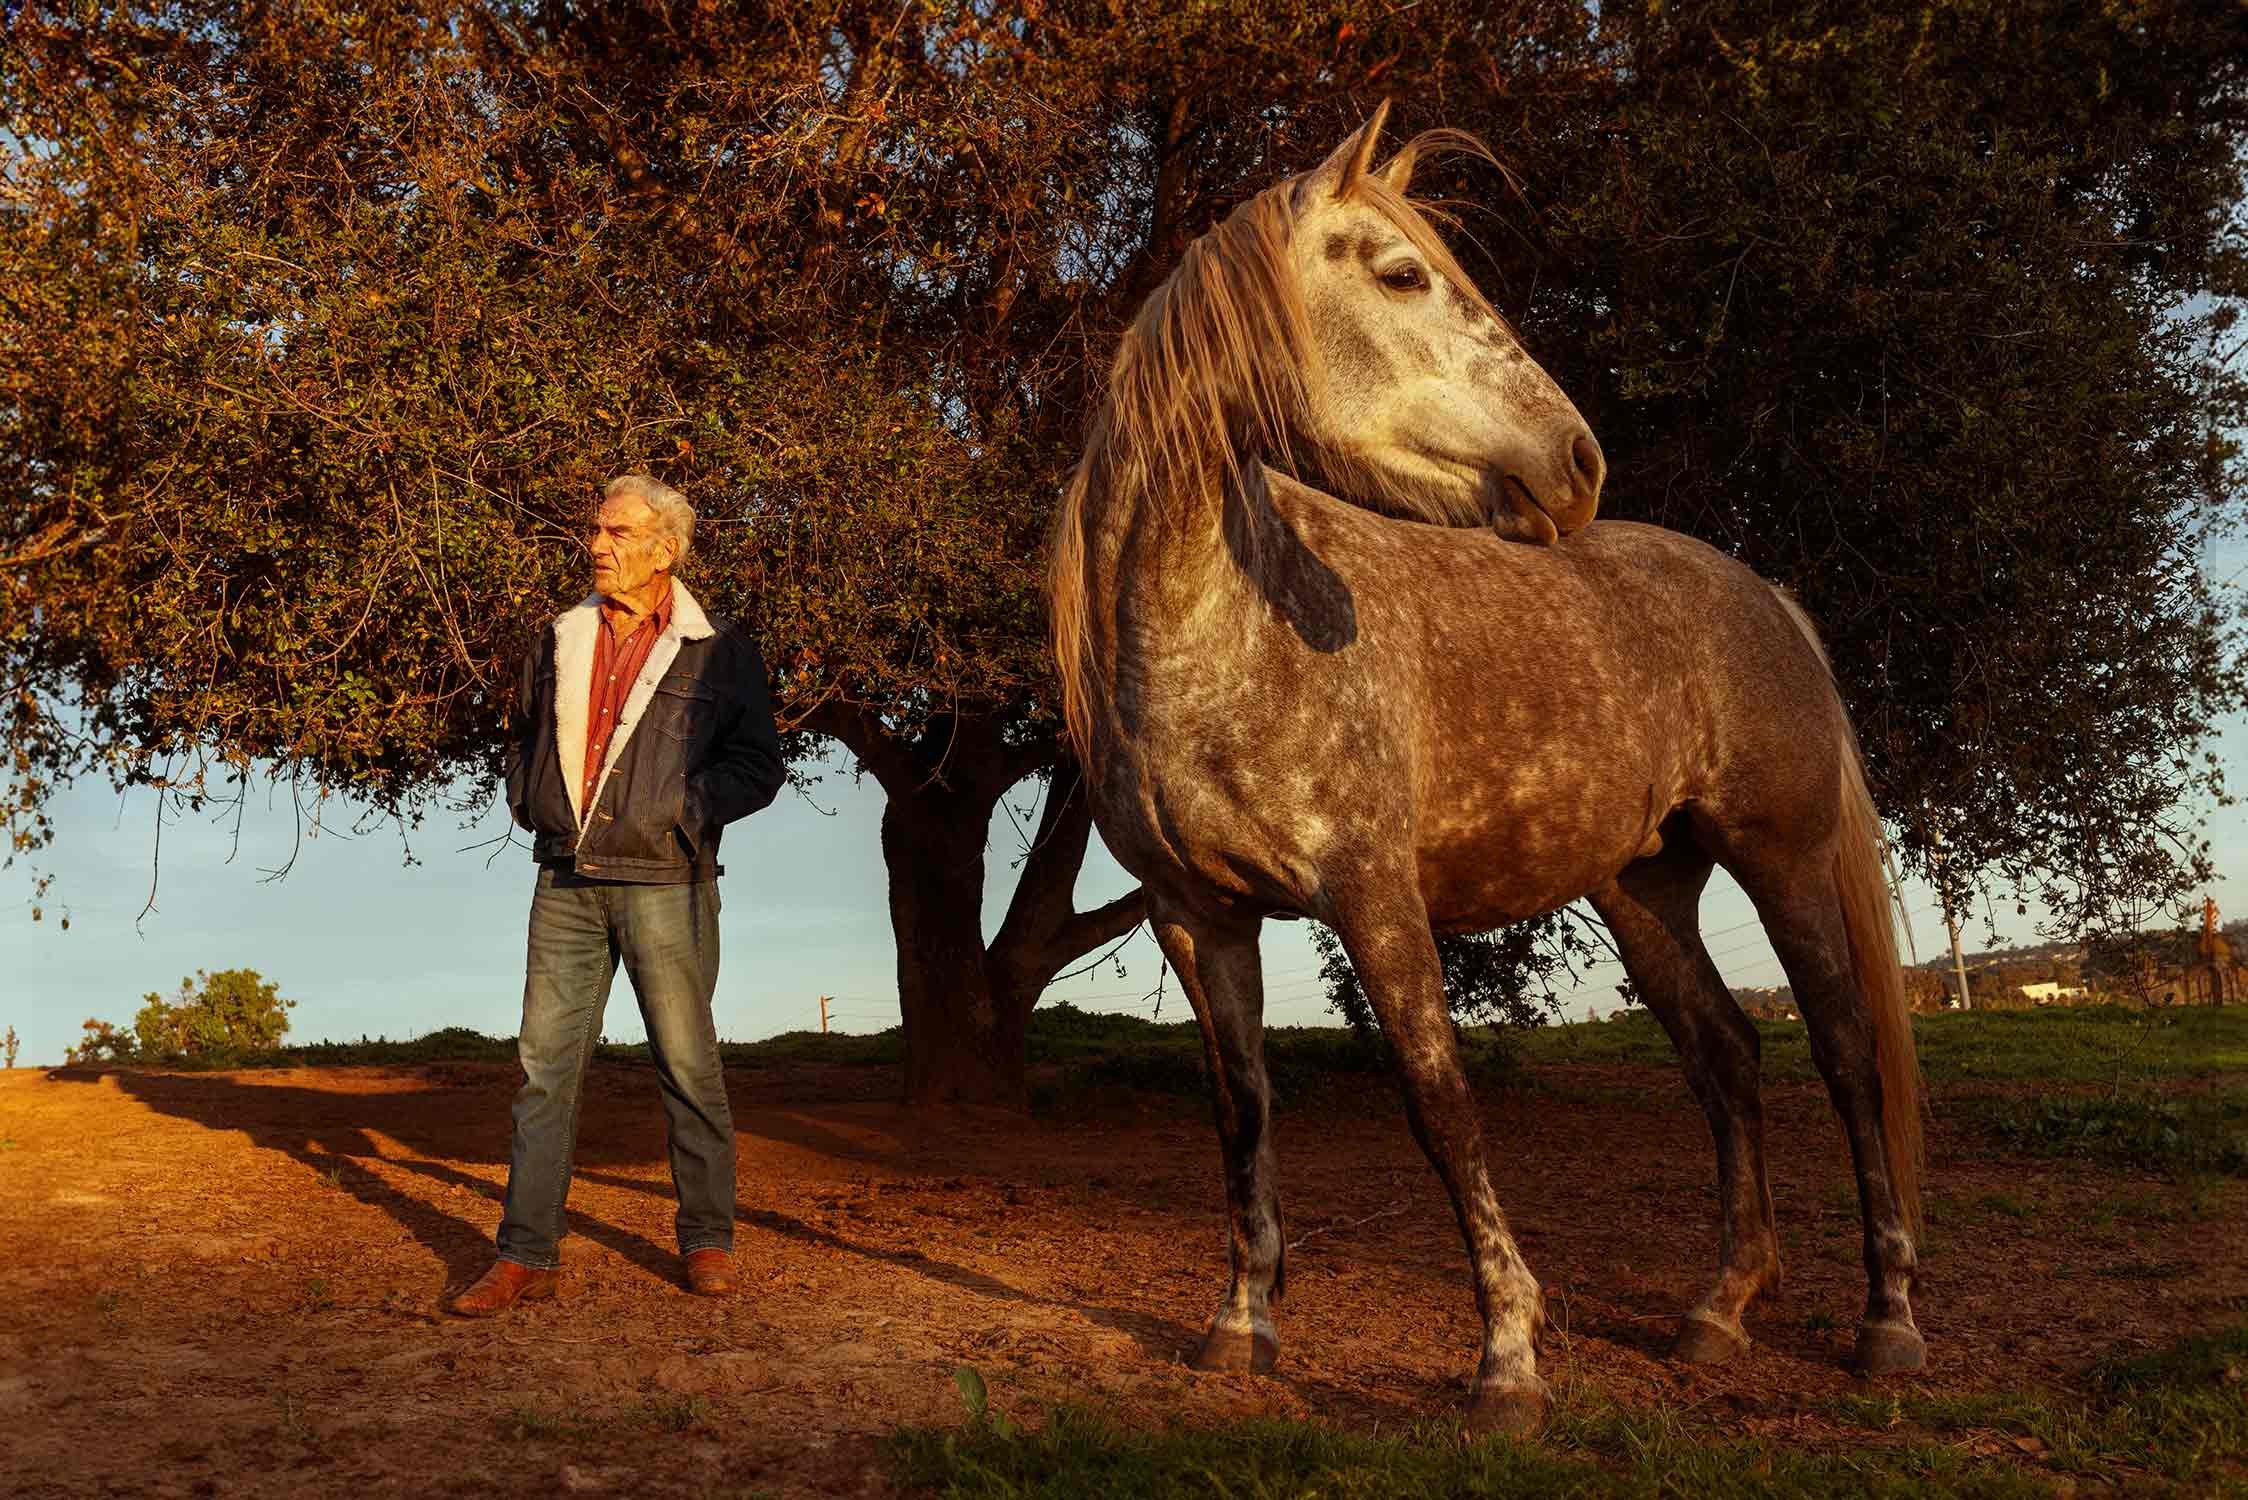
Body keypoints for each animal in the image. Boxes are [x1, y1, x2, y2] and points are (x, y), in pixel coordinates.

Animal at [1048, 104, 1924, 1437]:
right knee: (1726, 1057)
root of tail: (1761, 594)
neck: (1221, 630)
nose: (1578, 461)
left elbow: (1438, 1102)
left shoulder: (1372, 897)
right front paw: (1239, 1329)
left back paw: (1887, 1325)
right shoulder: (1196, 918)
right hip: (1643, 890)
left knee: (1842, 1052)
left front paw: (1508, 1358)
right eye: (1401, 275)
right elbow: (1241, 1111)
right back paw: (1716, 1313)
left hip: (1781, 861)